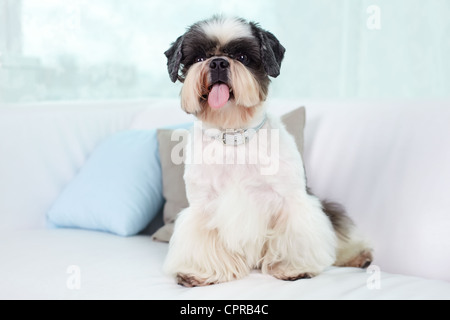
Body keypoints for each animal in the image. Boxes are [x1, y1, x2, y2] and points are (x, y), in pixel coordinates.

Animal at [162, 15, 372, 288]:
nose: (218, 62)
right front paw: (199, 272)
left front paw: (293, 267)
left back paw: (358, 256)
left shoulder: (292, 200)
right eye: (198, 58)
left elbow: (296, 235)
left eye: (242, 57)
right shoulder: (202, 207)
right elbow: (202, 241)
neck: (234, 136)